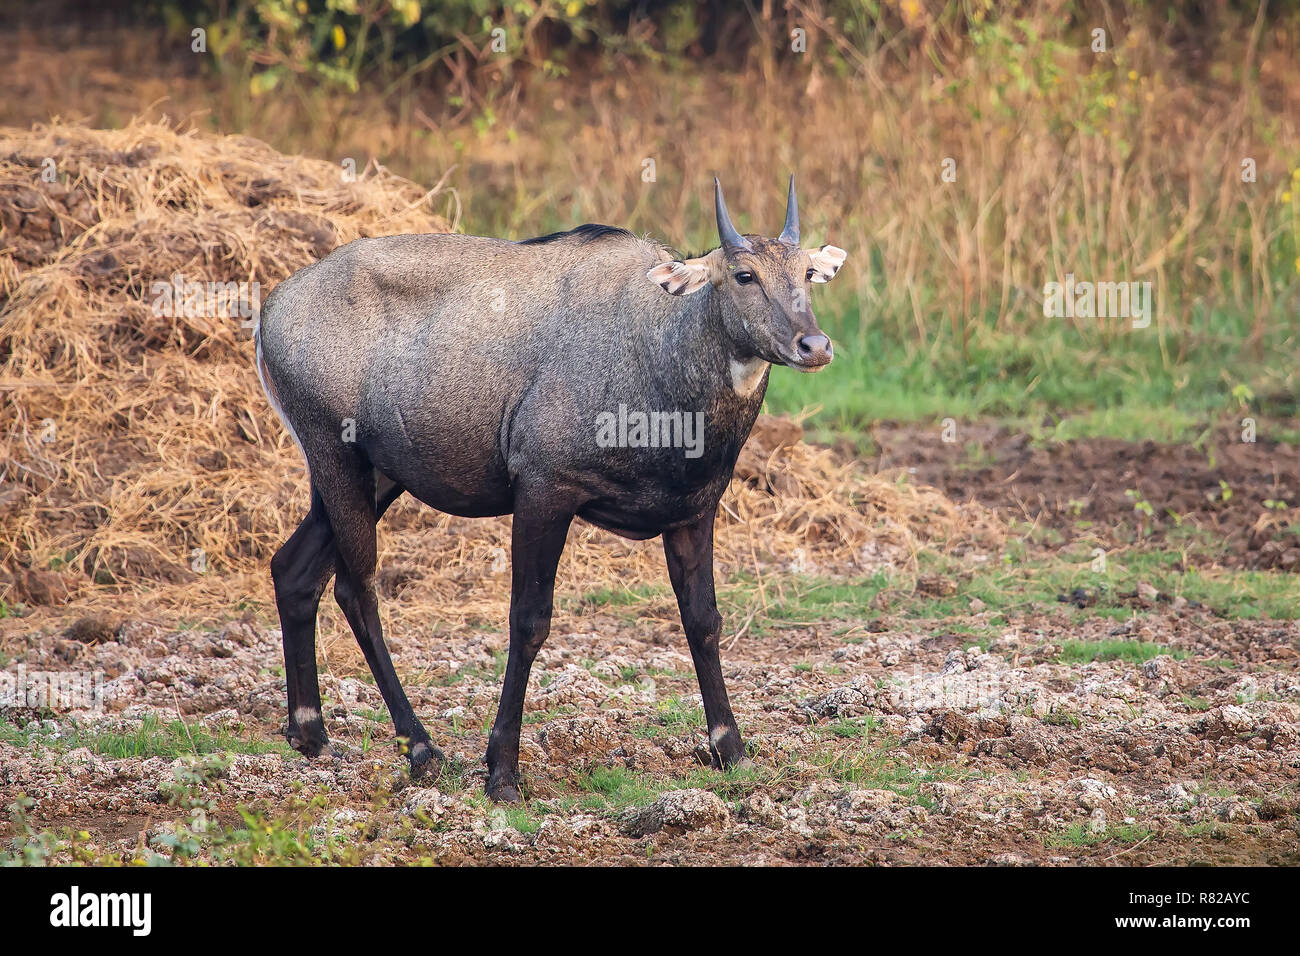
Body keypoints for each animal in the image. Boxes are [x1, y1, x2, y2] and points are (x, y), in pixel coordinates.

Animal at [254, 178, 847, 801]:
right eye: (743, 275)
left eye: (807, 273)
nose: (814, 345)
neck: (656, 348)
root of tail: (272, 307)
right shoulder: (544, 490)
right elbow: (529, 620)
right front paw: (502, 772)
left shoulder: (693, 511)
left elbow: (703, 620)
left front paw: (731, 751)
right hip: (336, 457)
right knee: (356, 587)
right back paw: (419, 748)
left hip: (375, 477)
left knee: (295, 570)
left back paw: (311, 734)